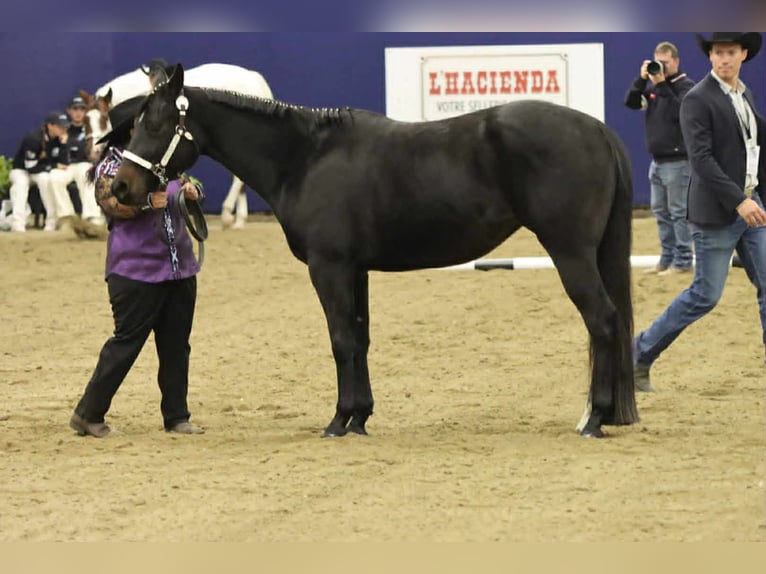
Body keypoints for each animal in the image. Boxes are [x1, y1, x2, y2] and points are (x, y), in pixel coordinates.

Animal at [112, 63, 639, 439]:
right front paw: (361, 418)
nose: (119, 186)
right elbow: (360, 338)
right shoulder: (355, 270)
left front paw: (338, 421)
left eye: (155, 124)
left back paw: (595, 419)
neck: (305, 159)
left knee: (602, 321)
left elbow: (341, 340)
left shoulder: (329, 268)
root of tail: (596, 129)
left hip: (570, 252)